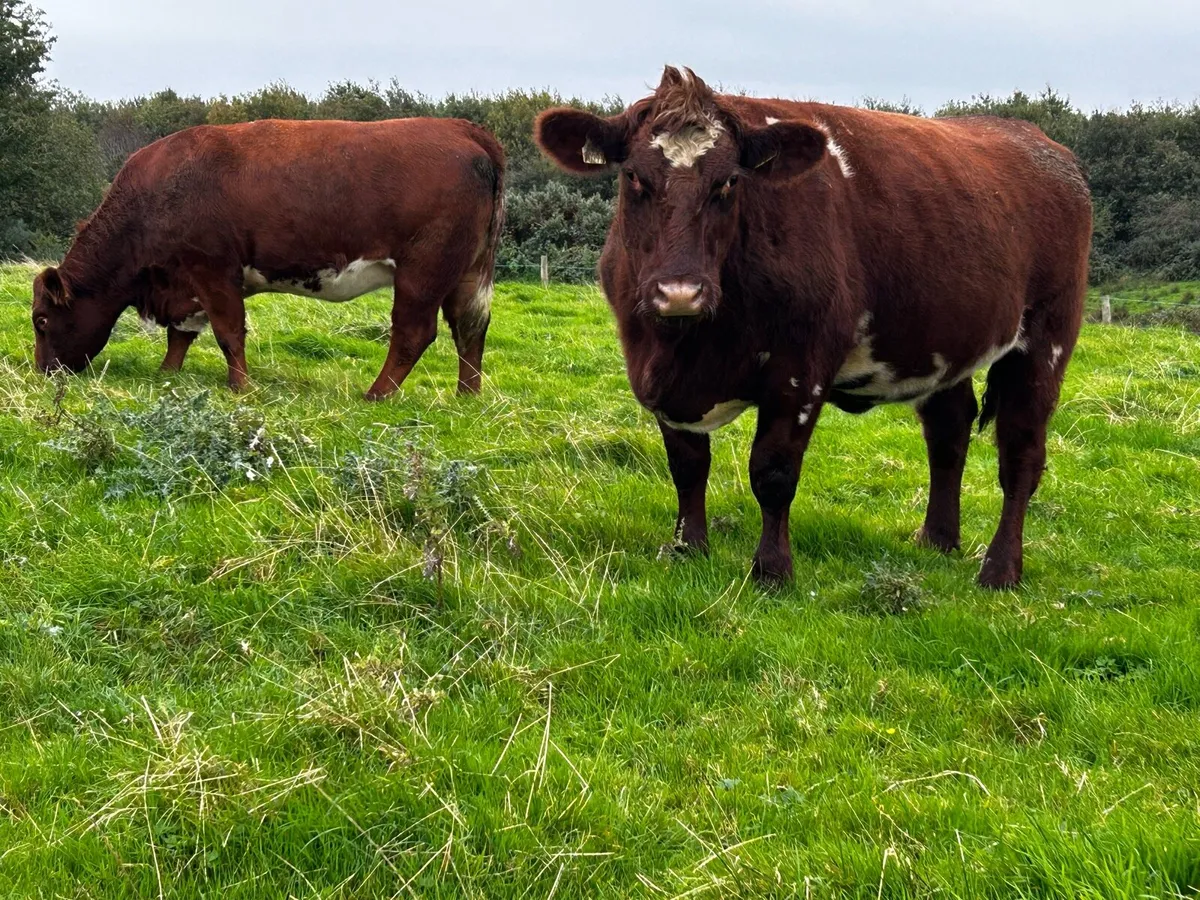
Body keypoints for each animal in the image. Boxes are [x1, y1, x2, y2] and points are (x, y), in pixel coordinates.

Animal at [32, 117, 505, 399]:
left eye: (41, 320)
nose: (42, 372)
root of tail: (463, 129)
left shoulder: (212, 270)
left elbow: (228, 332)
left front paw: (239, 386)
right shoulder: (187, 284)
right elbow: (181, 334)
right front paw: (167, 372)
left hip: (422, 272)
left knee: (414, 333)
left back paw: (377, 393)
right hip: (468, 272)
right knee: (470, 327)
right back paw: (467, 394)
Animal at [535, 67, 1091, 588]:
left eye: (729, 182)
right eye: (632, 176)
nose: (678, 292)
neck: (691, 345)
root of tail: (1046, 148)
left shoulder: (800, 367)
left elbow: (773, 471)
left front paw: (772, 570)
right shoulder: (654, 371)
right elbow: (687, 465)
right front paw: (687, 549)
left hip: (1046, 338)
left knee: (1021, 454)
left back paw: (1000, 570)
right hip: (941, 342)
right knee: (948, 431)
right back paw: (936, 539)